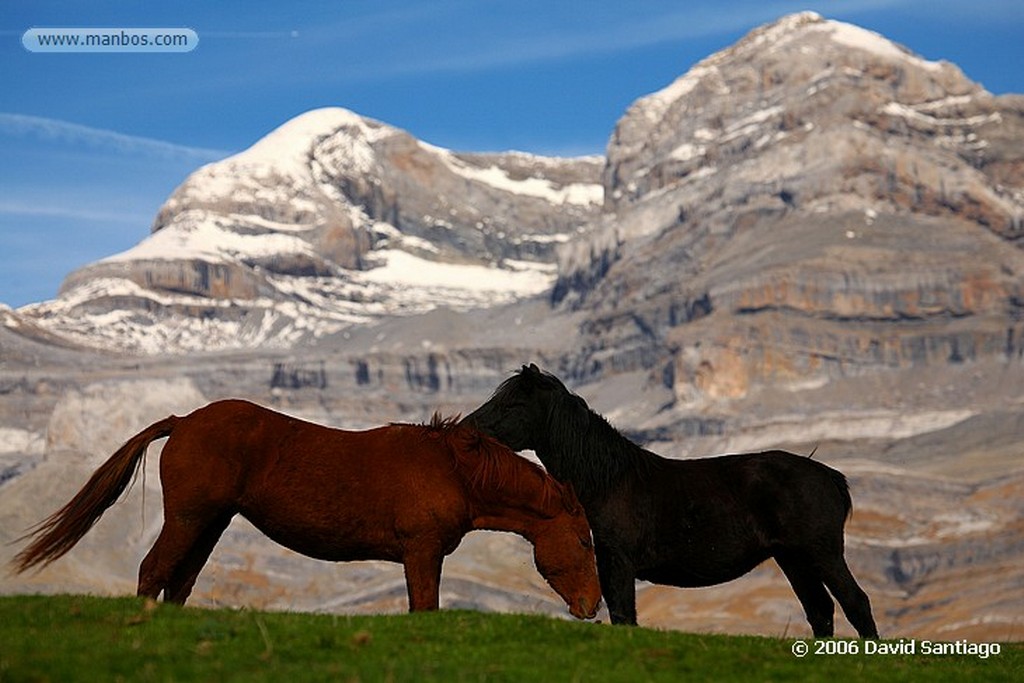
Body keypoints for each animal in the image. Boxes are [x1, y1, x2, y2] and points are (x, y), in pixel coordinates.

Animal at [14, 397, 598, 622]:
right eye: (585, 540)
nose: (593, 606)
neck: (452, 467)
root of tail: (182, 421)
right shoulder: (422, 551)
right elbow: (424, 608)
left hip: (211, 524)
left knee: (178, 582)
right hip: (188, 518)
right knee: (153, 572)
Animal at [462, 366, 872, 638]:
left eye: (513, 403)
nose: (467, 429)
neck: (608, 478)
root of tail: (829, 476)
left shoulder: (617, 560)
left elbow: (623, 613)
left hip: (822, 553)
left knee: (855, 602)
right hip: (793, 558)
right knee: (820, 610)